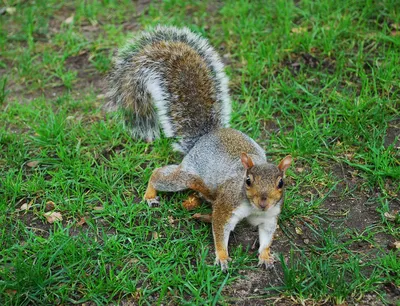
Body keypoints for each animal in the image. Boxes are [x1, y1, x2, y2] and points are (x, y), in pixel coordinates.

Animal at [105, 25, 294, 270]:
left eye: (281, 183)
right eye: (248, 181)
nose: (264, 201)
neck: (253, 207)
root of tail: (206, 136)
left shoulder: (269, 216)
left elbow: (267, 235)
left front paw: (265, 255)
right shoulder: (227, 205)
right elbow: (220, 228)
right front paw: (222, 257)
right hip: (188, 175)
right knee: (160, 175)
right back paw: (150, 194)